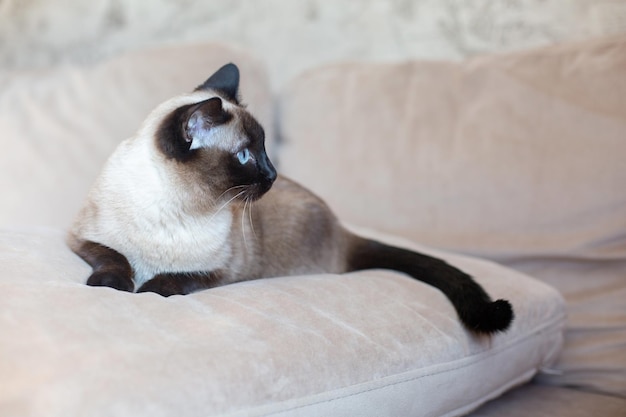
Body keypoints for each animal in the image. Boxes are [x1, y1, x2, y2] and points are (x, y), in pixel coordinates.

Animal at [67, 62, 512, 334]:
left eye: (265, 150)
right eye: (246, 156)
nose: (273, 174)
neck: (177, 209)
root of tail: (341, 227)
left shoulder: (222, 271)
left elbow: (178, 278)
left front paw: (149, 289)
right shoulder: (79, 238)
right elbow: (114, 257)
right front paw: (113, 285)